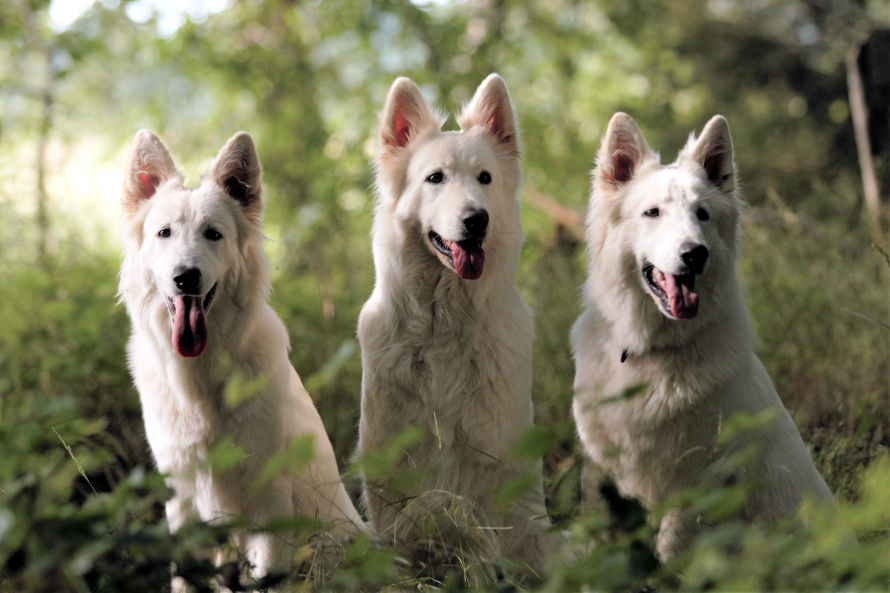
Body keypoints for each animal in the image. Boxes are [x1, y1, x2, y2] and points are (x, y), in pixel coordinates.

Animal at [119, 131, 362, 584]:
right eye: (164, 233)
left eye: (213, 234)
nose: (186, 278)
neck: (202, 373)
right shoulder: (182, 500)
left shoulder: (269, 500)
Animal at [354, 75, 548, 568]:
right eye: (435, 178)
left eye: (485, 178)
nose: (476, 219)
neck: (443, 323)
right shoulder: (393, 468)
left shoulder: (494, 461)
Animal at [568, 111, 832, 560]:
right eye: (652, 213)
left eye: (702, 215)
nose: (695, 254)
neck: (649, 351)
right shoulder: (600, 468)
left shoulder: (691, 484)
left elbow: (671, 551)